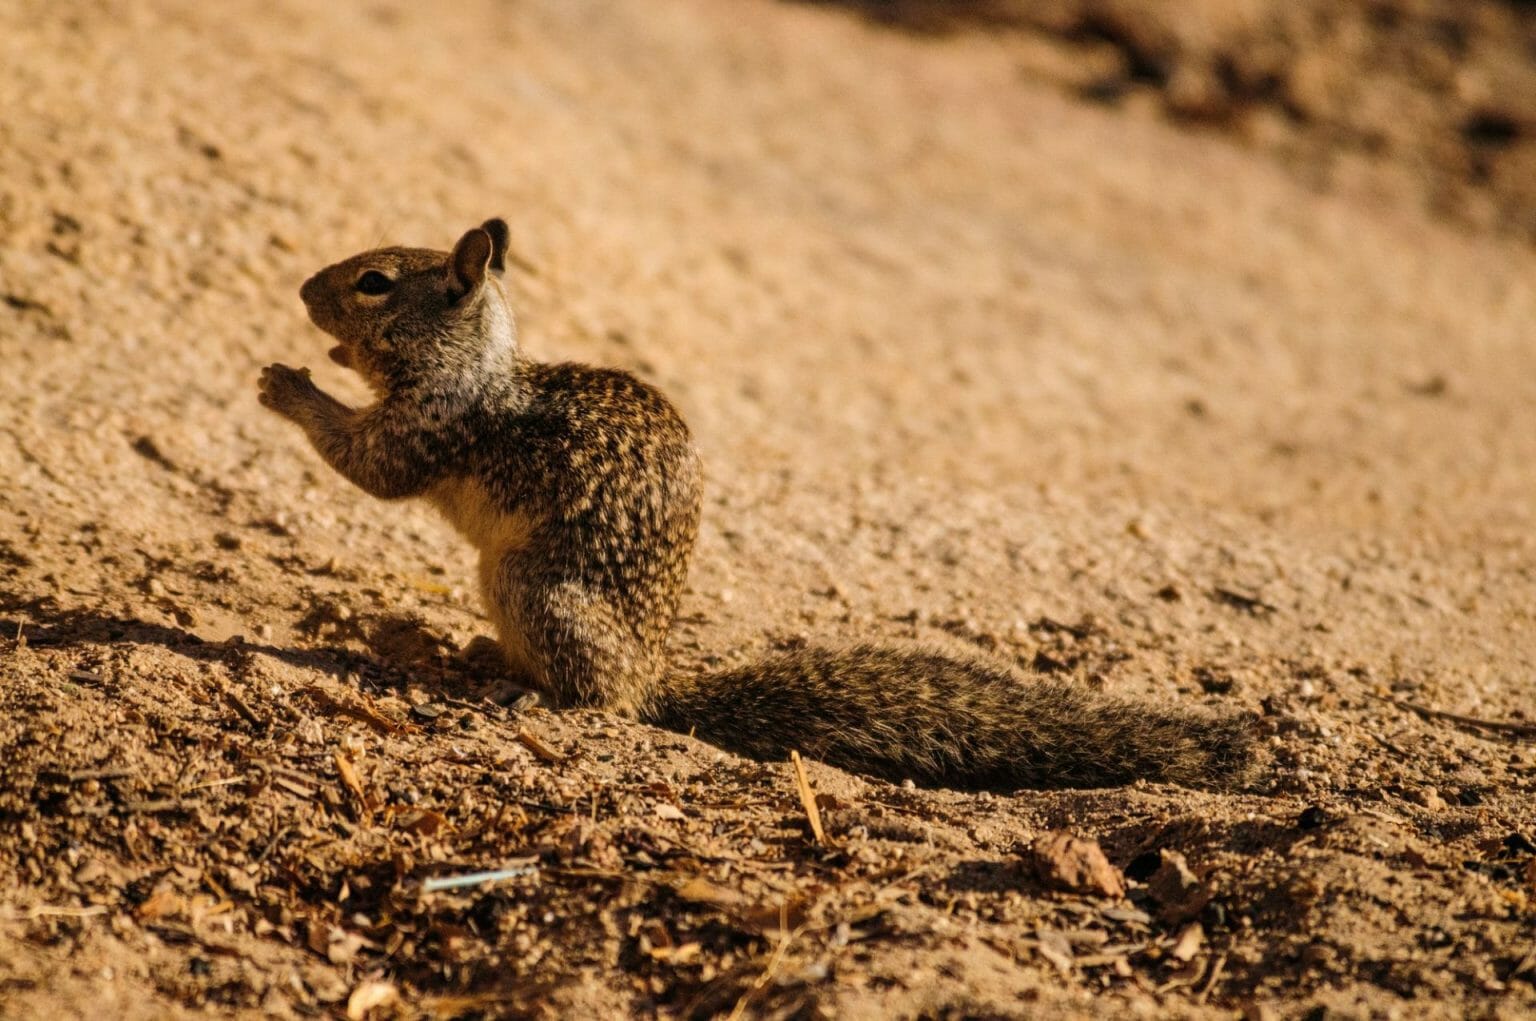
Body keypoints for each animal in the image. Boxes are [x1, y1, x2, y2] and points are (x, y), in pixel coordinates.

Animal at [257, 218, 1257, 792]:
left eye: (376, 281)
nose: (302, 289)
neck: (475, 365)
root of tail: (655, 675)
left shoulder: (432, 427)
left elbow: (370, 464)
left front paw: (290, 386)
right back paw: (477, 653)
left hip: (535, 587)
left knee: (602, 700)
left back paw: (533, 694)